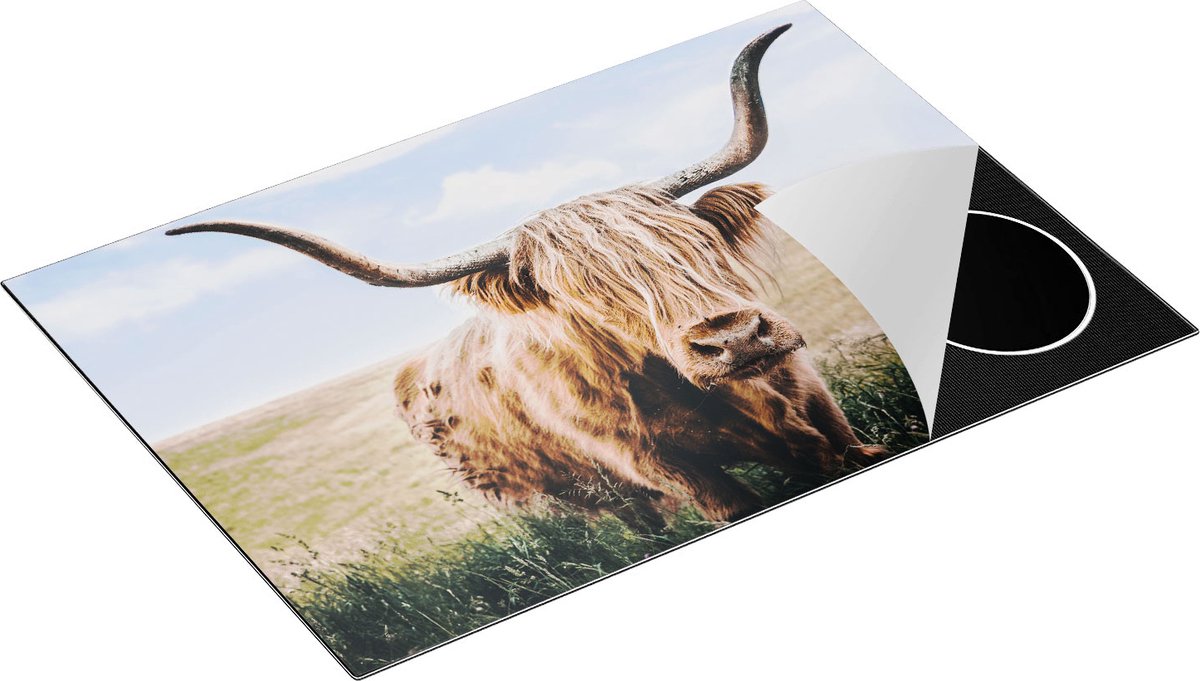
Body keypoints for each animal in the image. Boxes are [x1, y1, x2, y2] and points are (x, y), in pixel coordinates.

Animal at [166, 24, 887, 528]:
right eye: (587, 297)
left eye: (695, 240)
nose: (734, 339)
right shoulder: (665, 468)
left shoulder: (813, 398)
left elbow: (850, 445)